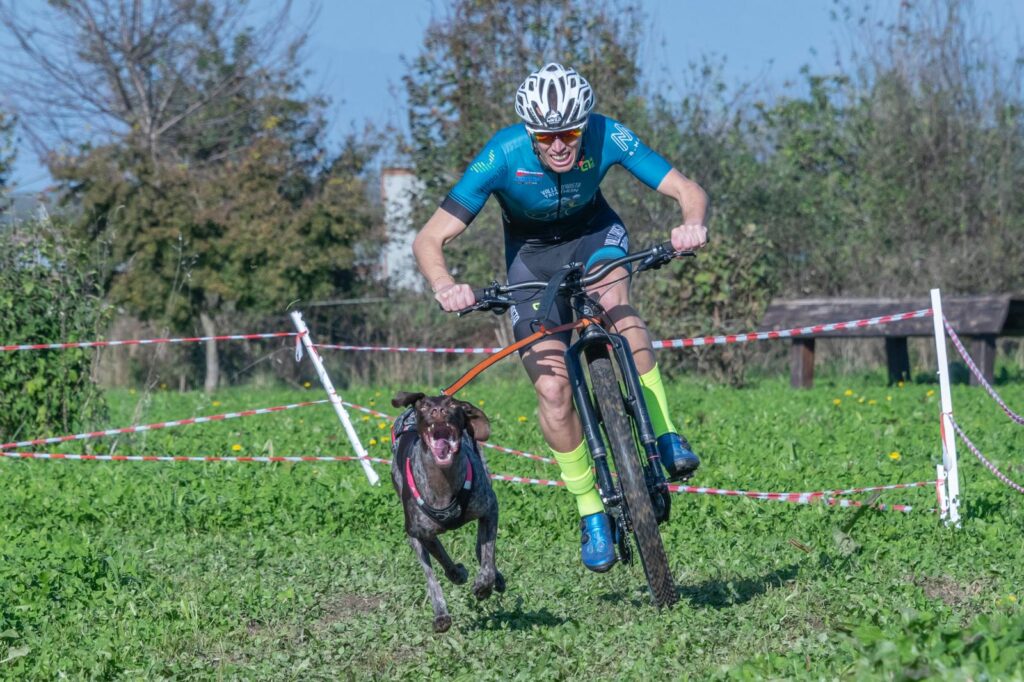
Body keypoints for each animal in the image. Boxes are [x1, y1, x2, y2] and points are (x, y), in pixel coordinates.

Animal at [389, 391, 505, 630]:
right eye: (424, 406)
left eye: (452, 404)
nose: (438, 410)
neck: (444, 482)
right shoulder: (422, 533)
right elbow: (443, 561)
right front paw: (458, 573)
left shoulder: (489, 509)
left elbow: (488, 556)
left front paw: (484, 585)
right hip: (413, 538)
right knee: (430, 576)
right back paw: (441, 614)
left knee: (482, 549)